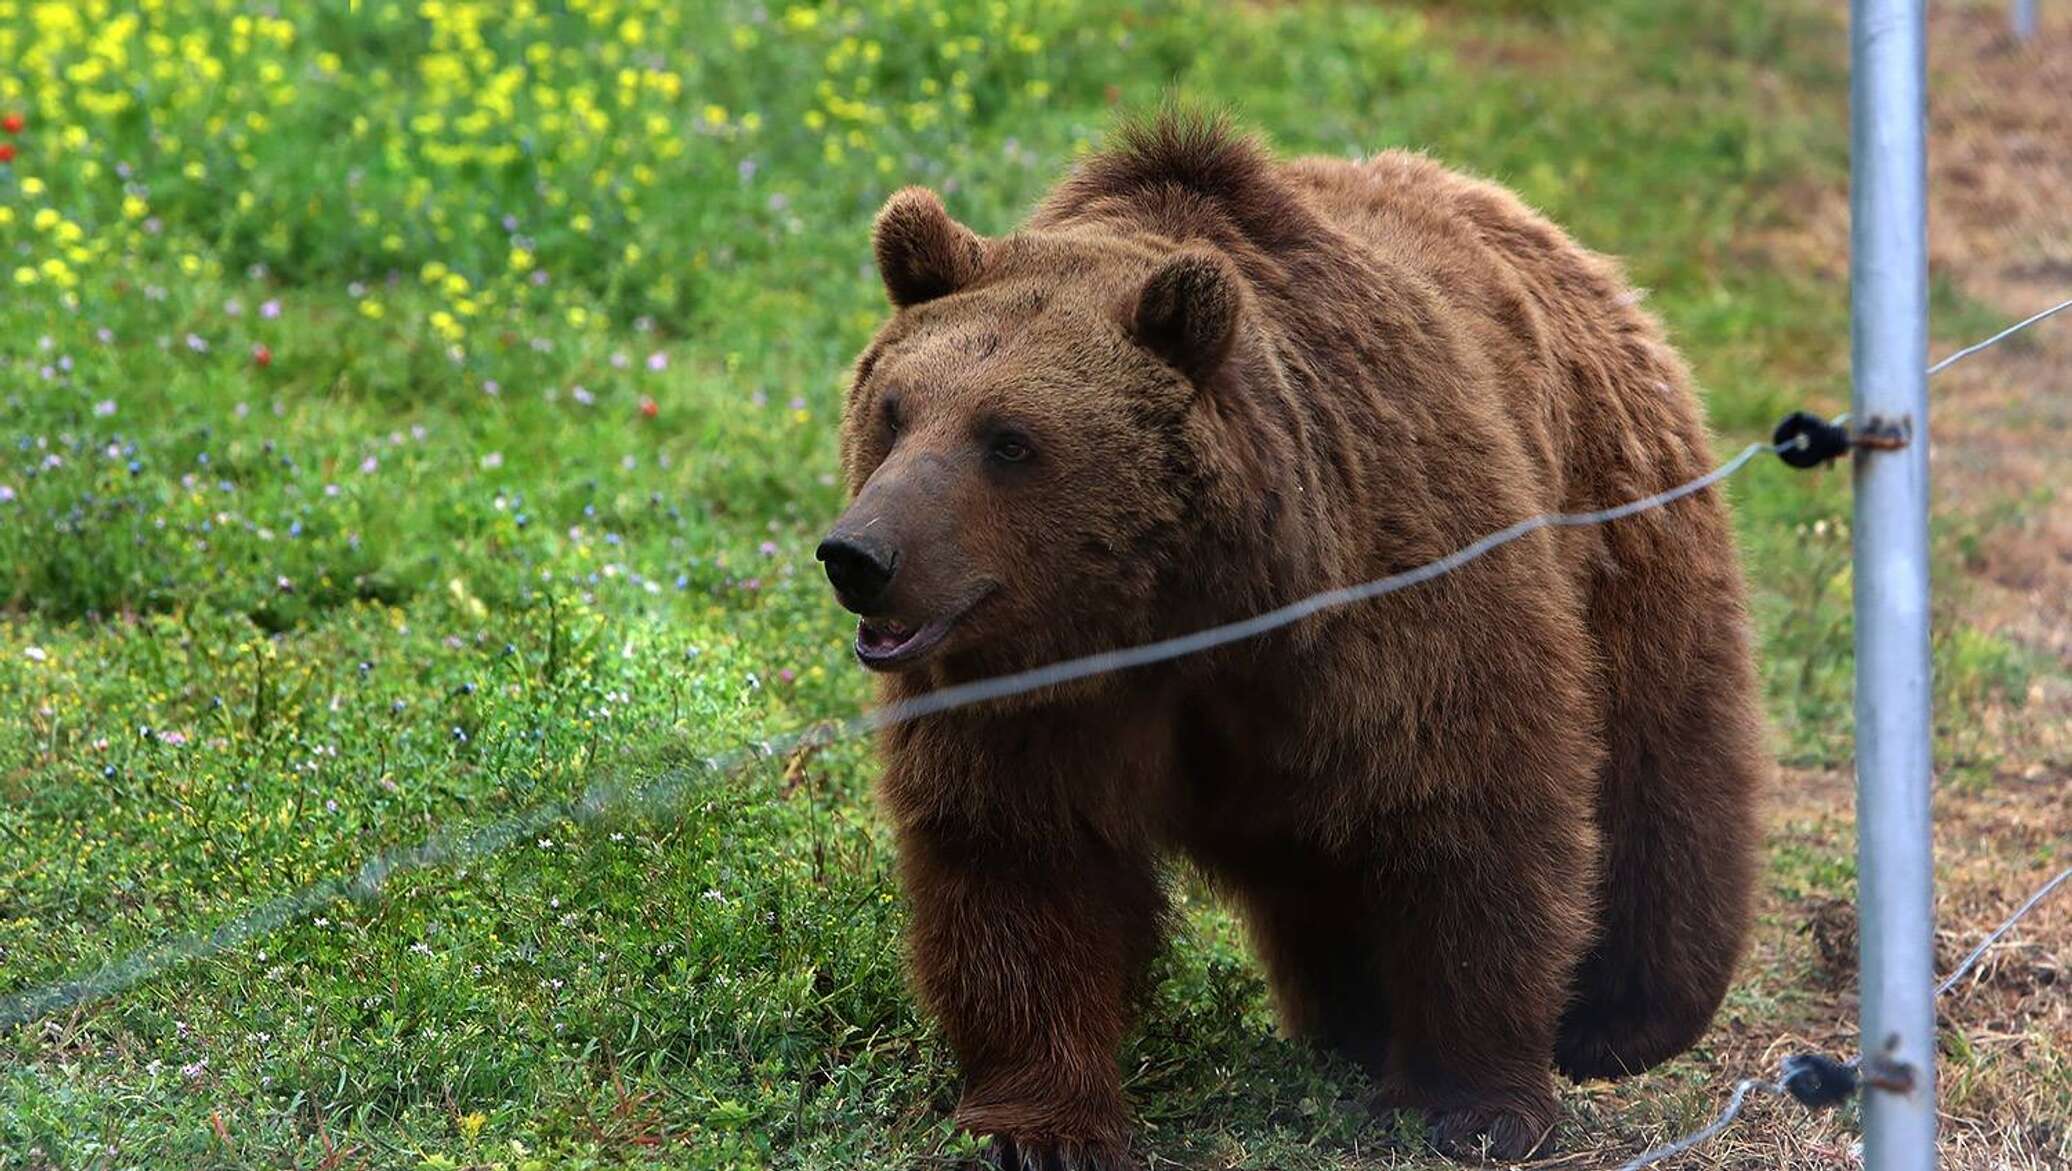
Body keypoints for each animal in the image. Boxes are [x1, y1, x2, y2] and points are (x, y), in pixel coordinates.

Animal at [816, 111, 1757, 1168]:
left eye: (1009, 438)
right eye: (893, 410)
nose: (860, 554)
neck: (1188, 608)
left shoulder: (1402, 597)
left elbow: (1474, 816)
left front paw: (1476, 1101)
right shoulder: (1038, 690)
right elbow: (1021, 857)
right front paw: (1043, 1123)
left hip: (1625, 533)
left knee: (1660, 775)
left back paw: (1626, 1015)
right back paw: (1353, 1014)